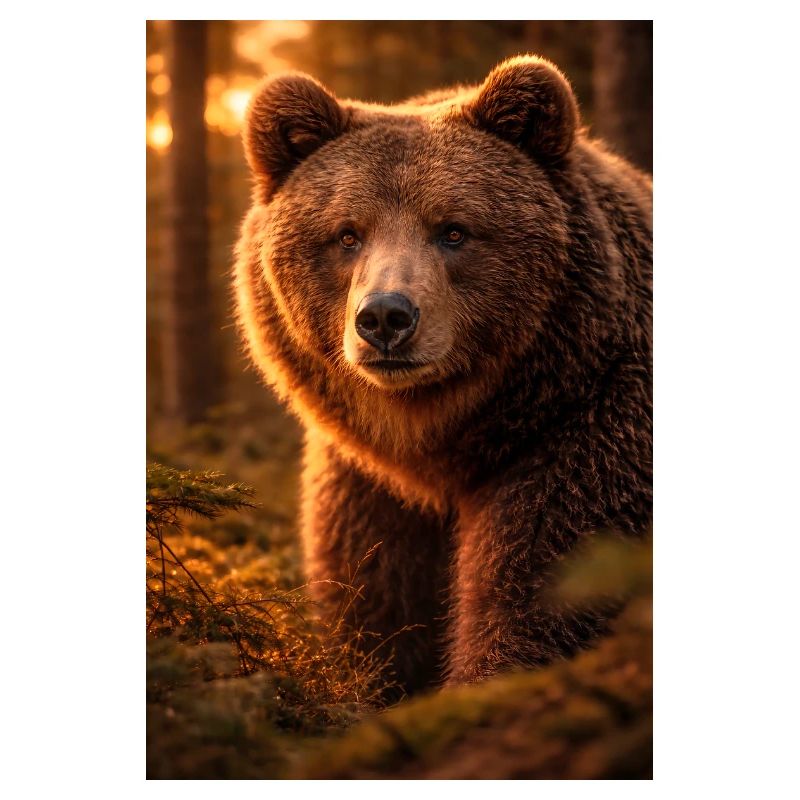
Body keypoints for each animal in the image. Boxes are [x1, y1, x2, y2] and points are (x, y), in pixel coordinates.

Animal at [233, 55, 652, 693]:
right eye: (347, 234)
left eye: (453, 229)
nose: (385, 317)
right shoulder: (369, 487)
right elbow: (376, 605)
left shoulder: (587, 434)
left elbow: (540, 595)